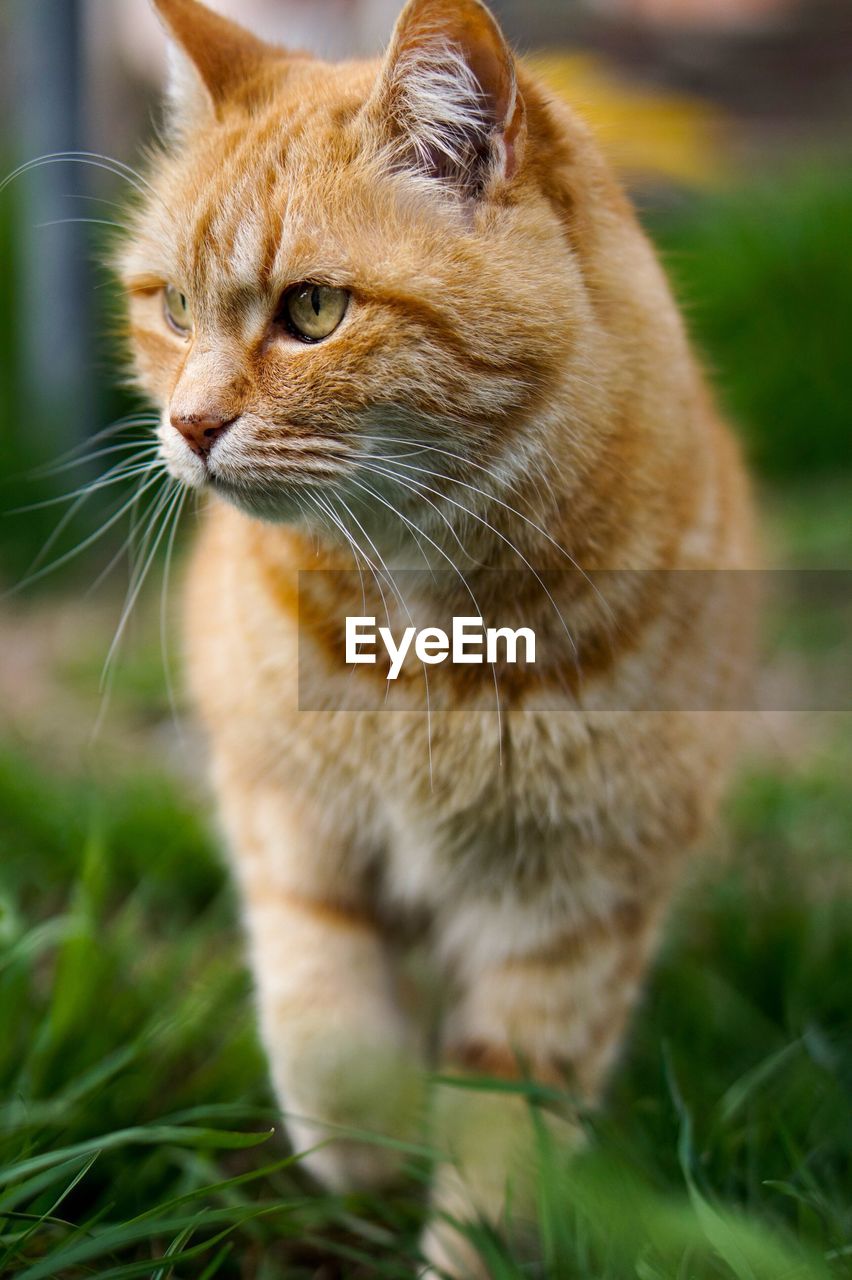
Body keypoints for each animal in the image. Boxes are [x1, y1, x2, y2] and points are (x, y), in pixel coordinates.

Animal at [116, 0, 752, 1269]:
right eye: (172, 307)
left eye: (313, 310)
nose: (190, 424)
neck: (431, 649)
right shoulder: (284, 806)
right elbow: (325, 1009)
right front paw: (362, 1142)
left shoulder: (573, 912)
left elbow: (507, 1130)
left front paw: (467, 1235)